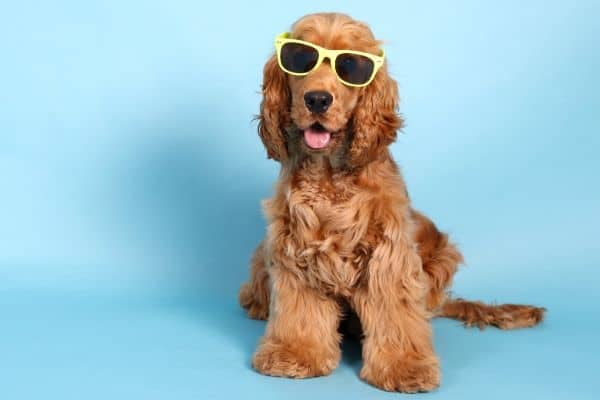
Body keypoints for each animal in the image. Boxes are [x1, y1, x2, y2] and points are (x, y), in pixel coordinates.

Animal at [238, 13, 544, 394]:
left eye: (350, 65)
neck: (329, 175)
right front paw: (295, 352)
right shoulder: (294, 245)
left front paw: (404, 367)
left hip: (439, 251)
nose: (317, 99)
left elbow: (394, 311)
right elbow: (300, 308)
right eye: (300, 58)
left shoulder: (389, 251)